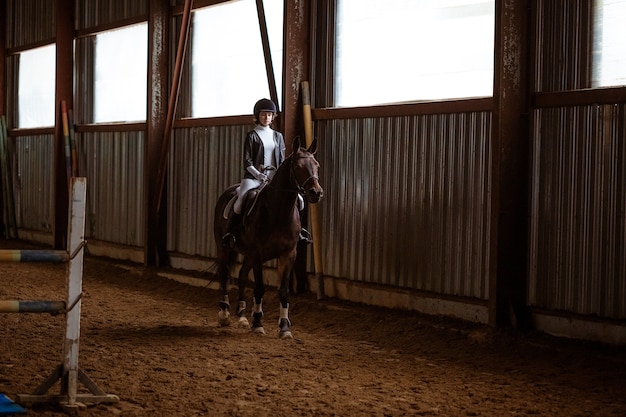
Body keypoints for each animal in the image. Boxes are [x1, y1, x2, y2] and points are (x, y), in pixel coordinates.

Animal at [213, 136, 324, 338]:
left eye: (316, 165)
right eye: (298, 166)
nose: (316, 192)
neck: (278, 211)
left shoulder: (288, 254)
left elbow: (284, 291)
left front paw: (284, 328)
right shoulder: (258, 254)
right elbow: (259, 288)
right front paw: (258, 323)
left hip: (247, 254)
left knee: (241, 277)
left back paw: (242, 317)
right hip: (223, 247)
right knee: (224, 275)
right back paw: (224, 315)